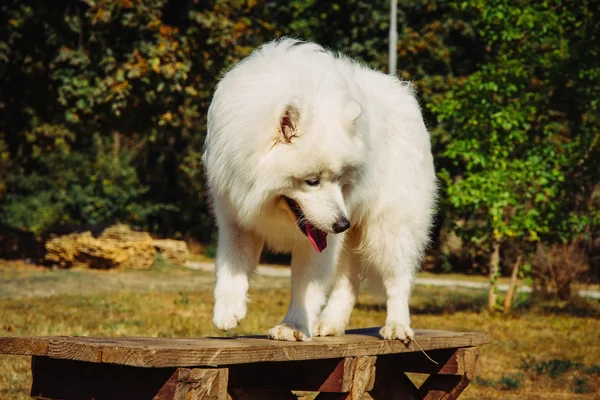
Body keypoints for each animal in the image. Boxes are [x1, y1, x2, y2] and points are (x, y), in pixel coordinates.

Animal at [203, 39, 436, 342]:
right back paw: (331, 323)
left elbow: (305, 286)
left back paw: (397, 326)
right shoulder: (235, 215)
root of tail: (405, 92)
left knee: (398, 280)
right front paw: (228, 311)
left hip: (389, 228)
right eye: (312, 181)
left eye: (339, 179)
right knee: (348, 281)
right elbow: (230, 265)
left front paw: (293, 326)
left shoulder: (318, 241)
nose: (341, 224)